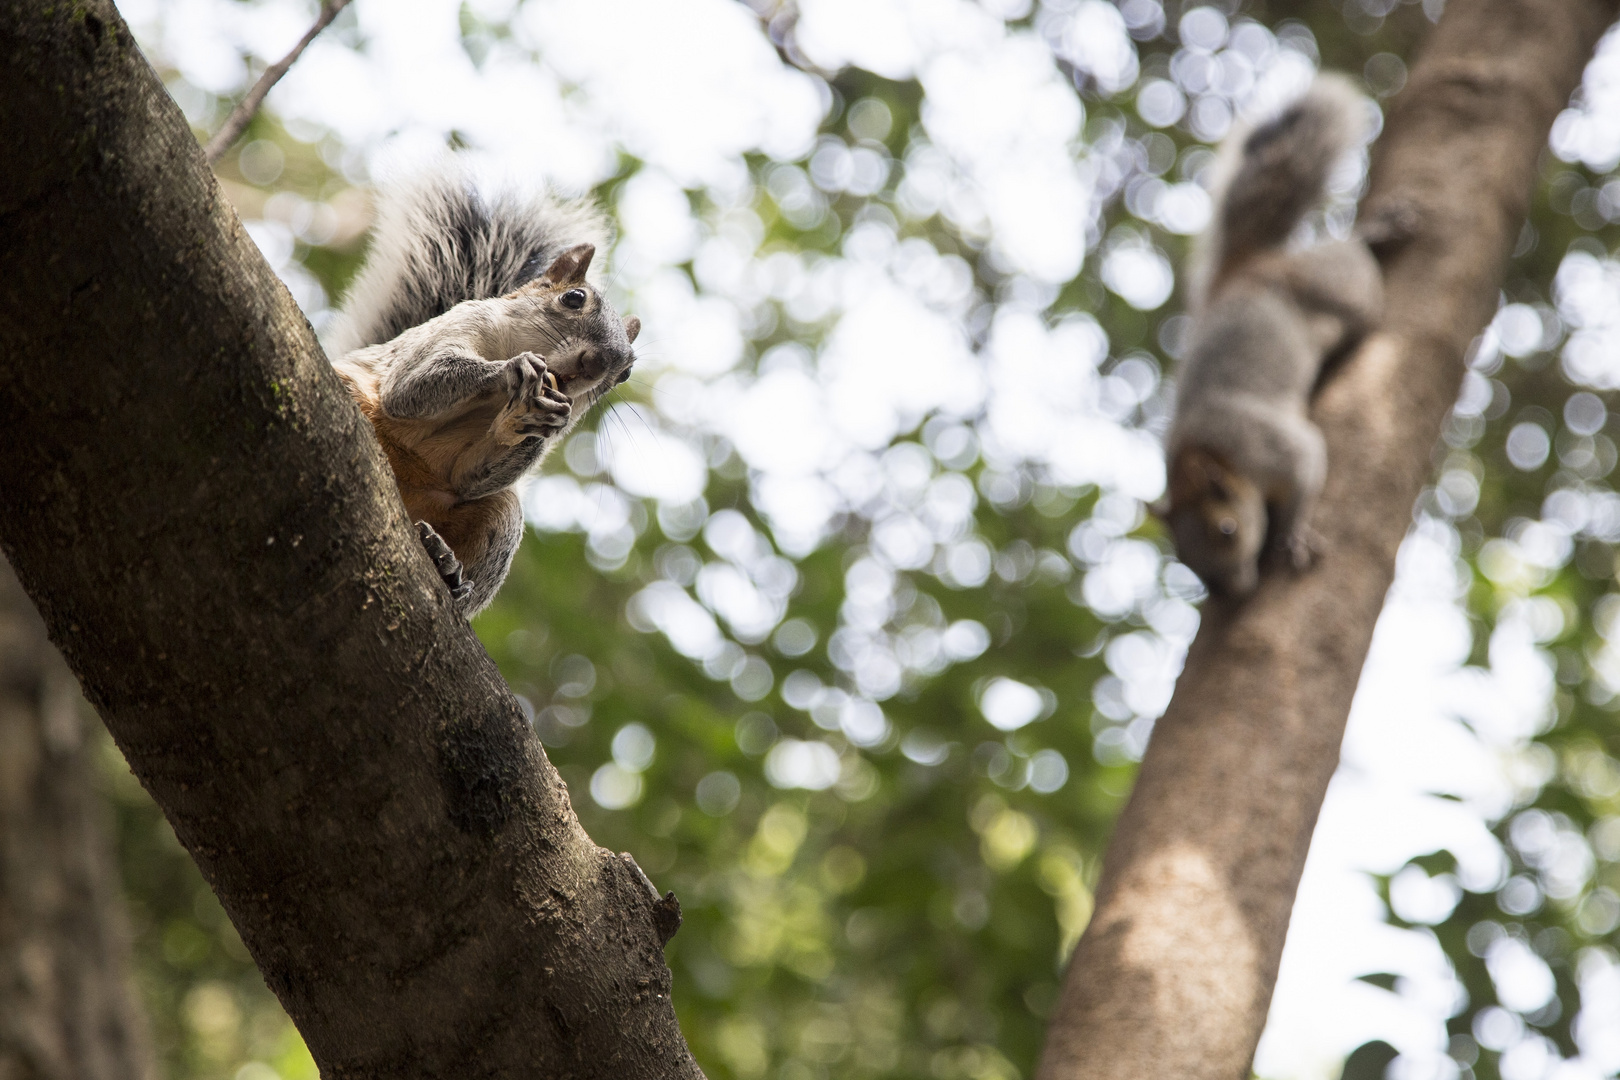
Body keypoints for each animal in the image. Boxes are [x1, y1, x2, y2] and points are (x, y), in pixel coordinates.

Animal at [322, 160, 638, 615]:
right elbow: (410, 386)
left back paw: (445, 567)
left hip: (500, 518)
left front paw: (526, 421)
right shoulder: (452, 328)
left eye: (627, 371)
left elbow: (471, 475)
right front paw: (510, 368)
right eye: (574, 298)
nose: (598, 364)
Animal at [1166, 74, 1380, 599]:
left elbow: (1306, 465)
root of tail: (1241, 271)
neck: (1210, 454)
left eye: (1226, 530)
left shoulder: (1270, 445)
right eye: (1184, 562)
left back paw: (1379, 231)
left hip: (1334, 285)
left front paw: (1292, 535)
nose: (1238, 590)